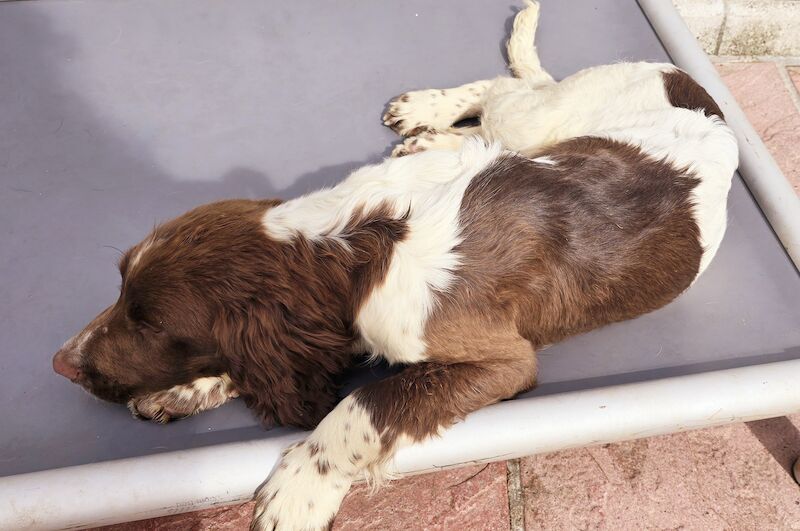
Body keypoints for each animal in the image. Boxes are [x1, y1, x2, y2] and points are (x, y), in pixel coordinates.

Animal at [51, 2, 736, 528]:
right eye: (120, 289)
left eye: (151, 324)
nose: (60, 364)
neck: (357, 241)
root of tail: (706, 98)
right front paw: (191, 387)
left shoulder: (501, 360)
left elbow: (364, 403)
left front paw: (299, 488)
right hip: (541, 127)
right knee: (497, 106)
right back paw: (426, 123)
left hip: (545, 118)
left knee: (509, 95)